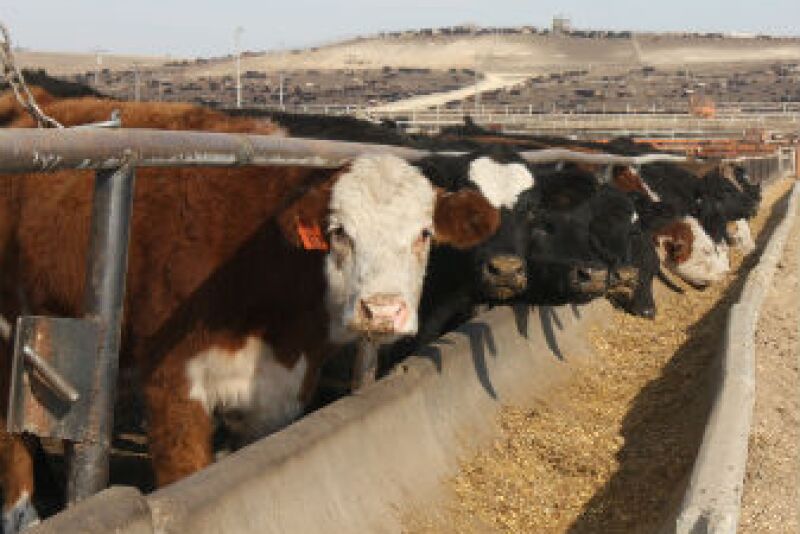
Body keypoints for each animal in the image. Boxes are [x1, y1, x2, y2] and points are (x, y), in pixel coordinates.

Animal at [0, 91, 501, 532]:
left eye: (424, 233)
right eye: (339, 232)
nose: (381, 310)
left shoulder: (277, 395)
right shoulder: (173, 384)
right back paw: (23, 513)